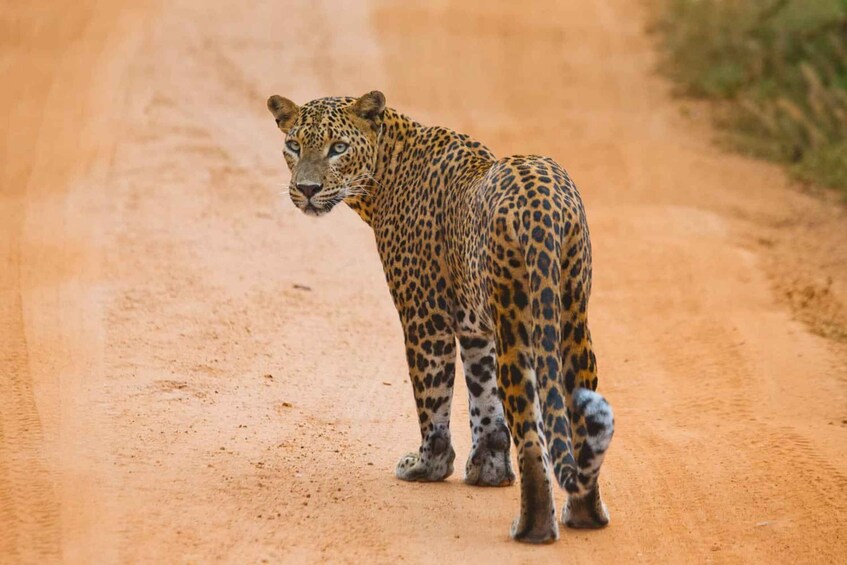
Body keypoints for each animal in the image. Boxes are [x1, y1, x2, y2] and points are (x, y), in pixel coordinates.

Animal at [266, 91, 614, 543]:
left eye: (338, 148)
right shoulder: (475, 327)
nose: (307, 189)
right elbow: (484, 400)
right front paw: (489, 471)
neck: (386, 169)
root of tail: (543, 209)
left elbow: (432, 396)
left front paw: (428, 466)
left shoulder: (424, 315)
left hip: (517, 324)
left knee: (530, 430)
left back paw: (533, 528)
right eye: (294, 145)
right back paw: (585, 515)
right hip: (572, 317)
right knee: (578, 416)